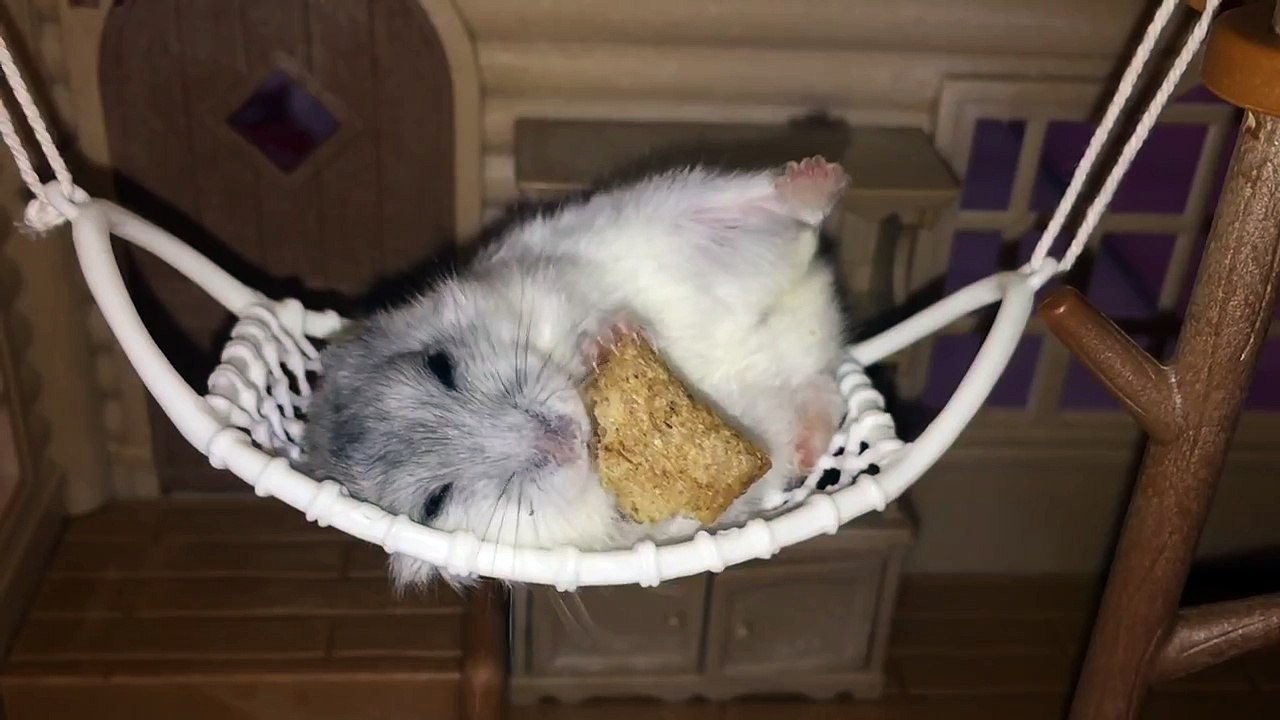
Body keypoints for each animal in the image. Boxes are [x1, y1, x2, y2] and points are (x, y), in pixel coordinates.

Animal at [302, 156, 850, 588]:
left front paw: (609, 338)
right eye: (435, 503)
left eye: (441, 367)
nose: (562, 439)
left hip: (677, 212)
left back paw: (816, 178)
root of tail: (818, 314)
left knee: (779, 216)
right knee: (818, 389)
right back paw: (809, 439)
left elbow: (590, 315)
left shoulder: (545, 282)